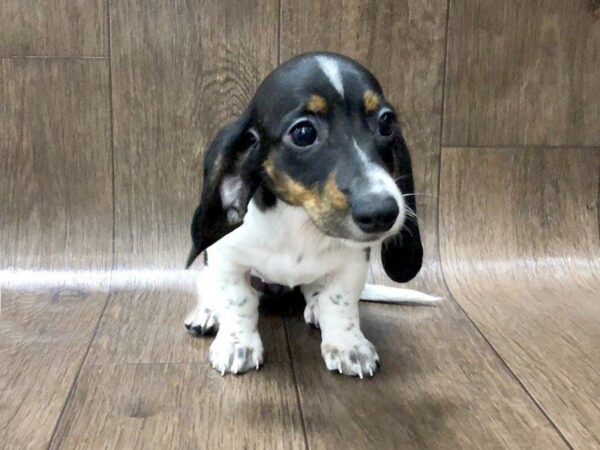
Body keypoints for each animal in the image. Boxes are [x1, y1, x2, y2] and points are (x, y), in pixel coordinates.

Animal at [183, 51, 436, 378]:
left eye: (386, 123)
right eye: (304, 133)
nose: (382, 212)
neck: (299, 223)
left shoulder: (353, 263)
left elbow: (339, 301)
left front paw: (348, 345)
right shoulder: (226, 256)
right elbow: (237, 300)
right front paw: (237, 343)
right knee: (209, 288)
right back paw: (207, 312)